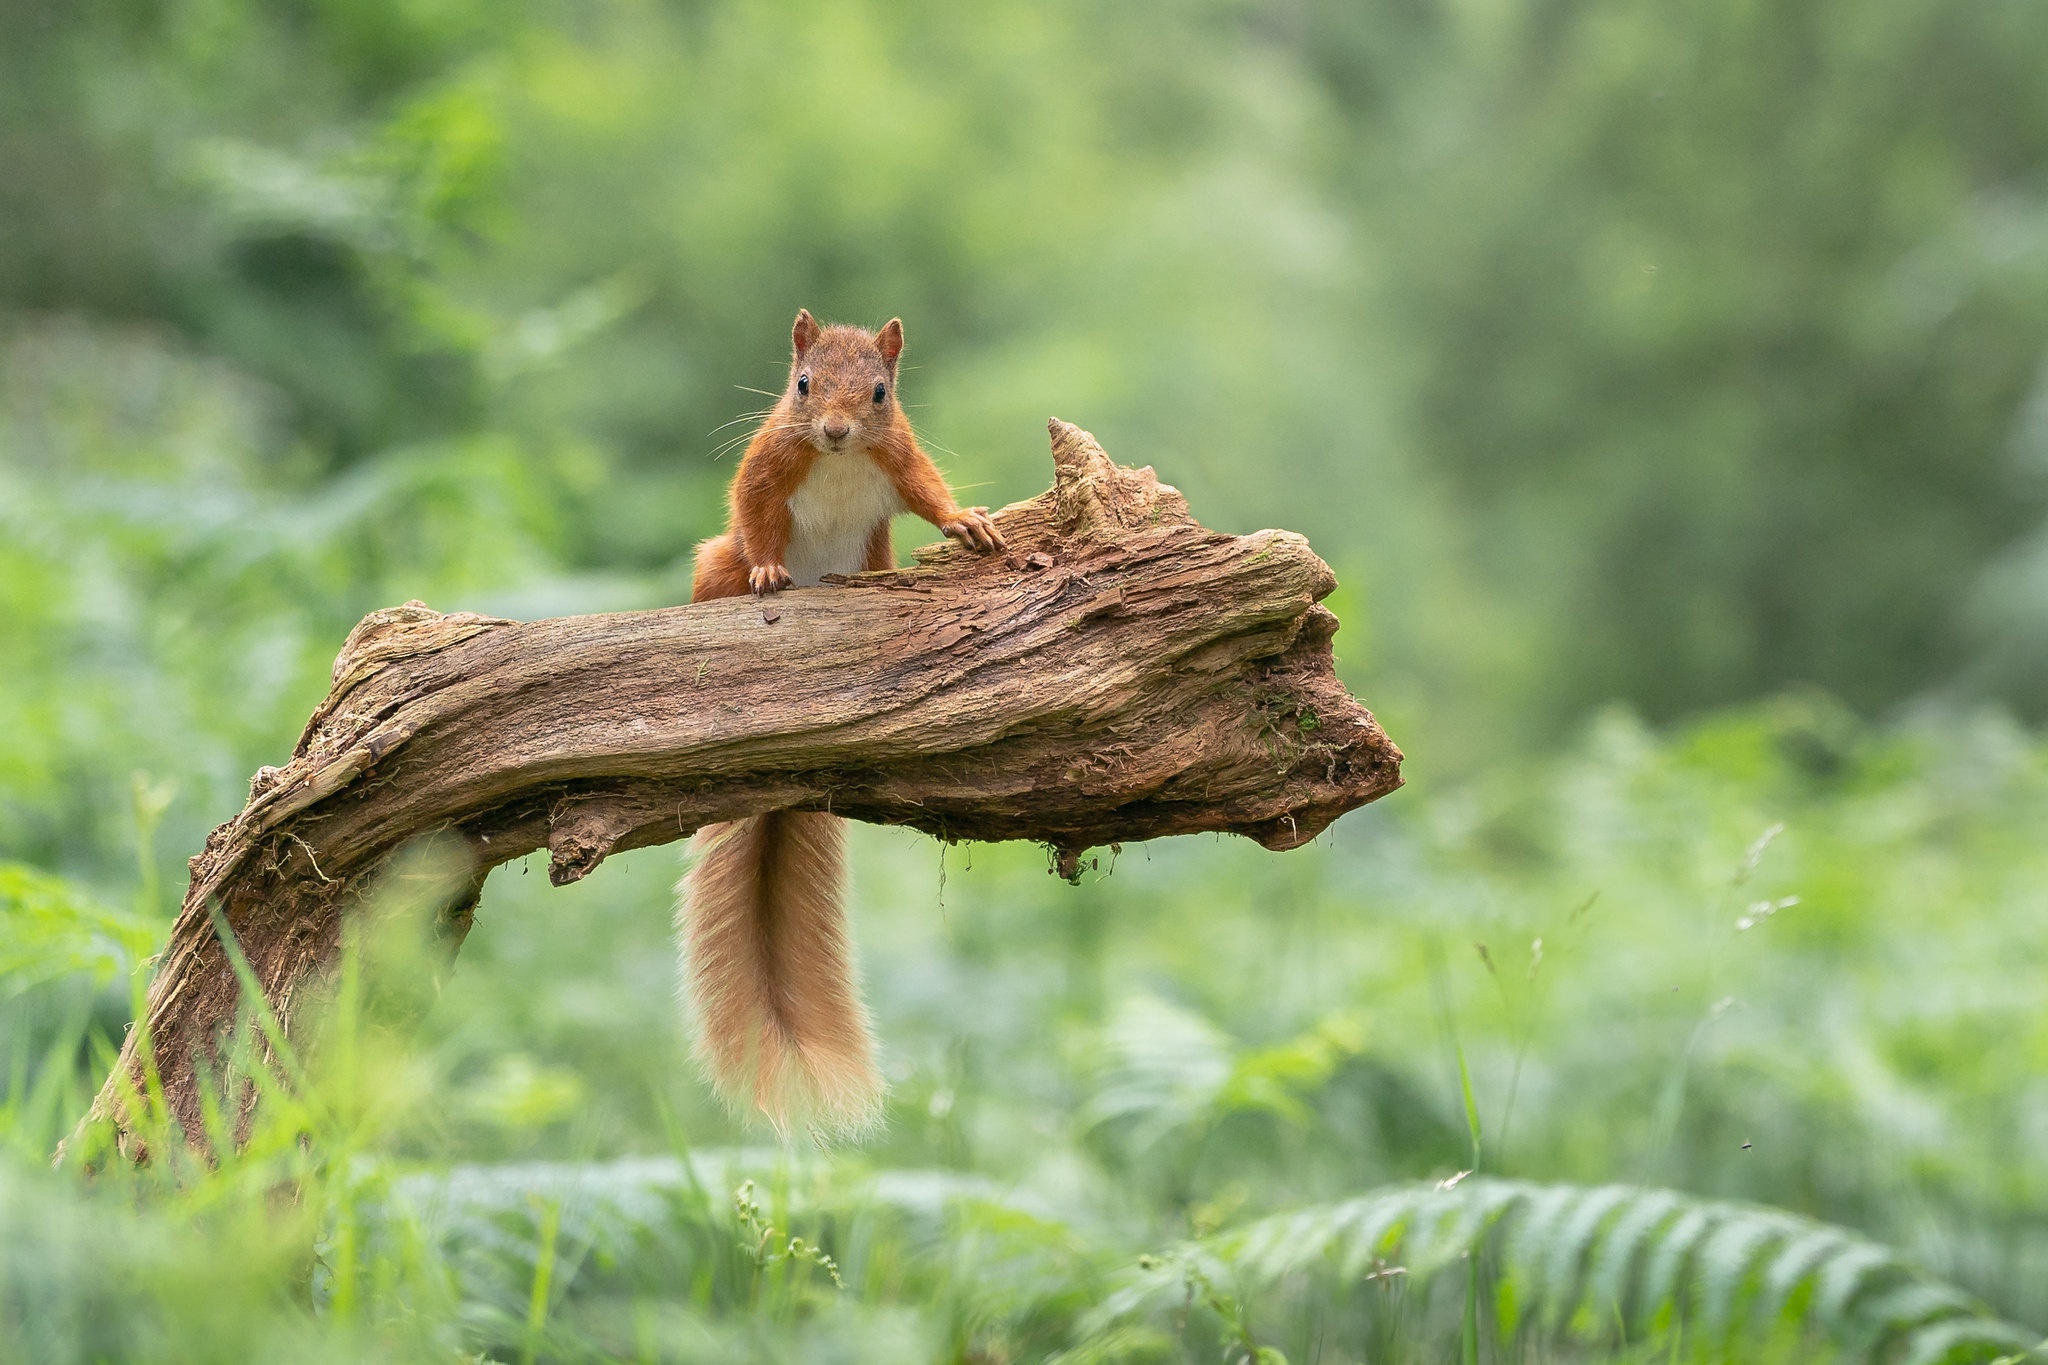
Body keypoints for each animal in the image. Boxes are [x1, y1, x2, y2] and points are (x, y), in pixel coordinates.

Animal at [684, 315, 1003, 1137]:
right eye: (801, 384)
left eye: (881, 392)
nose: (833, 430)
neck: (837, 458)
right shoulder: (770, 461)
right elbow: (753, 504)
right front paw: (769, 572)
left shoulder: (900, 455)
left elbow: (930, 493)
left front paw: (968, 521)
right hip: (713, 560)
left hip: (876, 555)